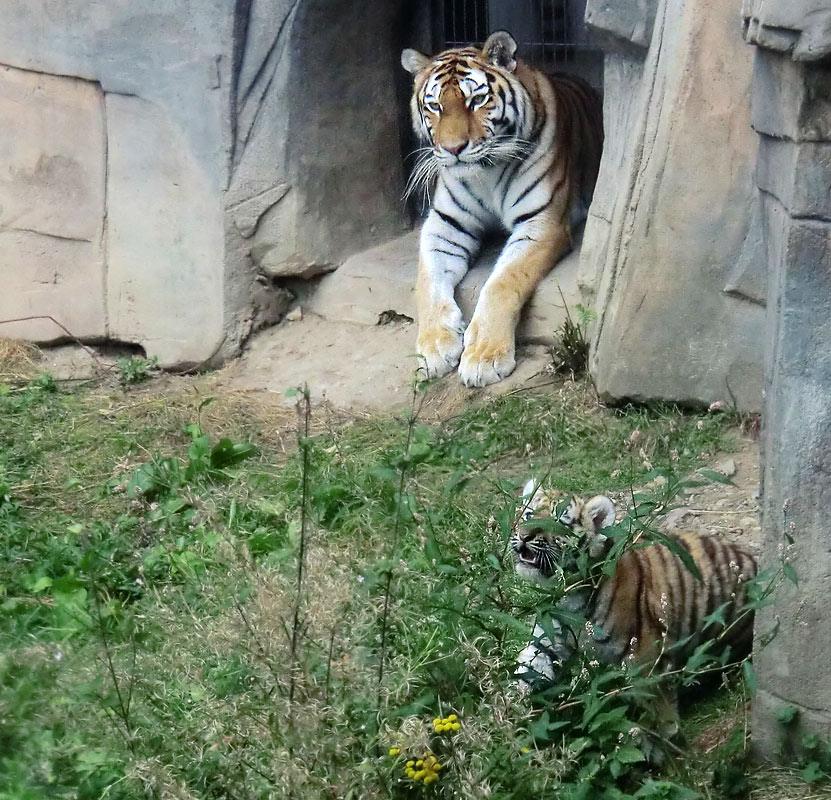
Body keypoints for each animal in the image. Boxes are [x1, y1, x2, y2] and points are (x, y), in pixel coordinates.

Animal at [400, 32, 600, 390]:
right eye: (435, 106)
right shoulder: (444, 225)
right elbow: (428, 280)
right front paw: (435, 346)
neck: (486, 175)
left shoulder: (540, 223)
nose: (453, 149)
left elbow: (503, 281)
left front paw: (484, 356)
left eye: (476, 100)